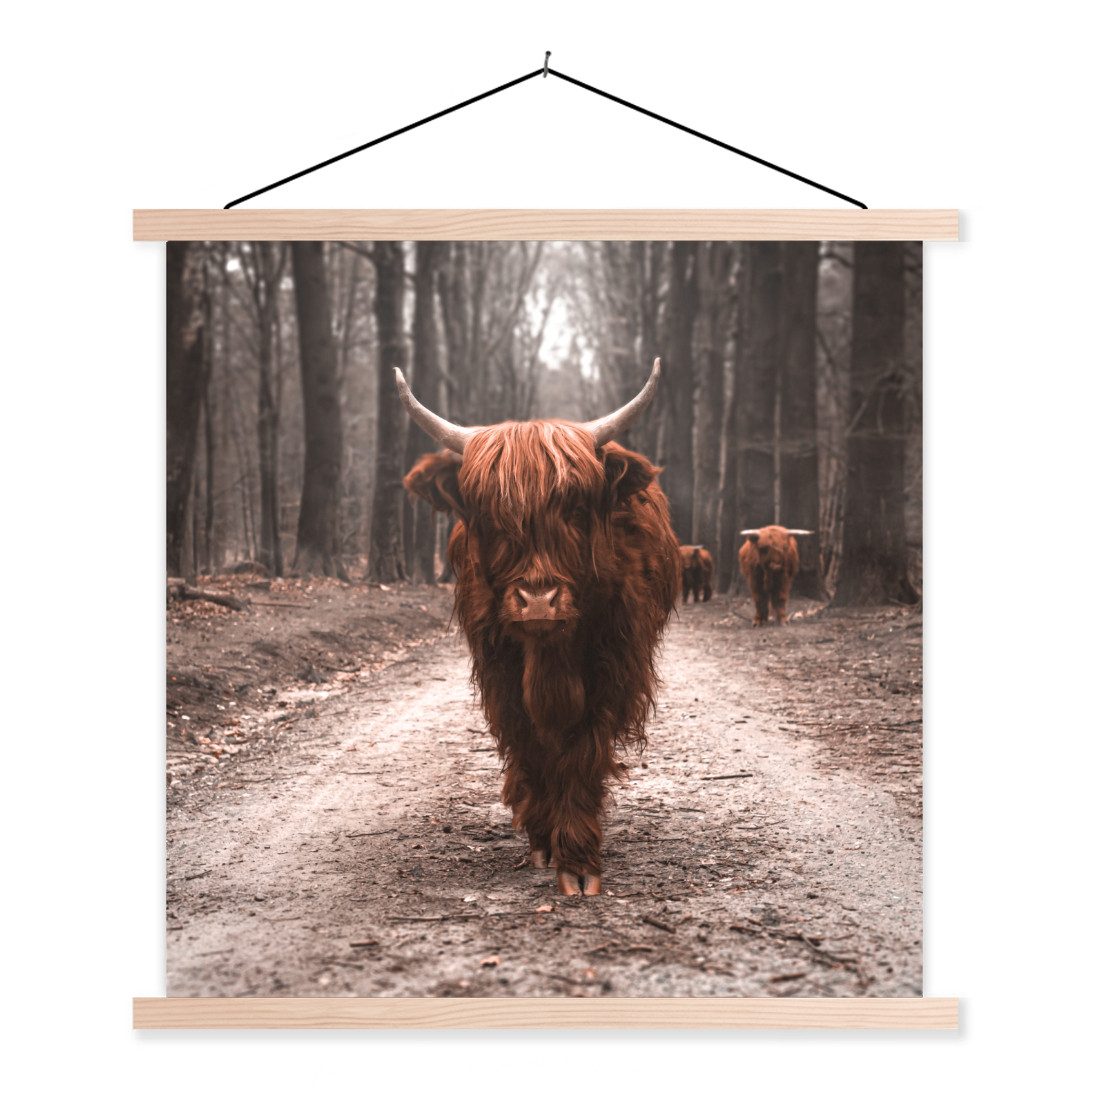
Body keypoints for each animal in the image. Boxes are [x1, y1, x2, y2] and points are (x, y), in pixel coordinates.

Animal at [399, 359, 679, 896]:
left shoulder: (611, 668)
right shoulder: (500, 672)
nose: (538, 602)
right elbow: (529, 744)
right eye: (489, 515)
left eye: (575, 508)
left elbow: (582, 750)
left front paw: (578, 860)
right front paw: (544, 841)